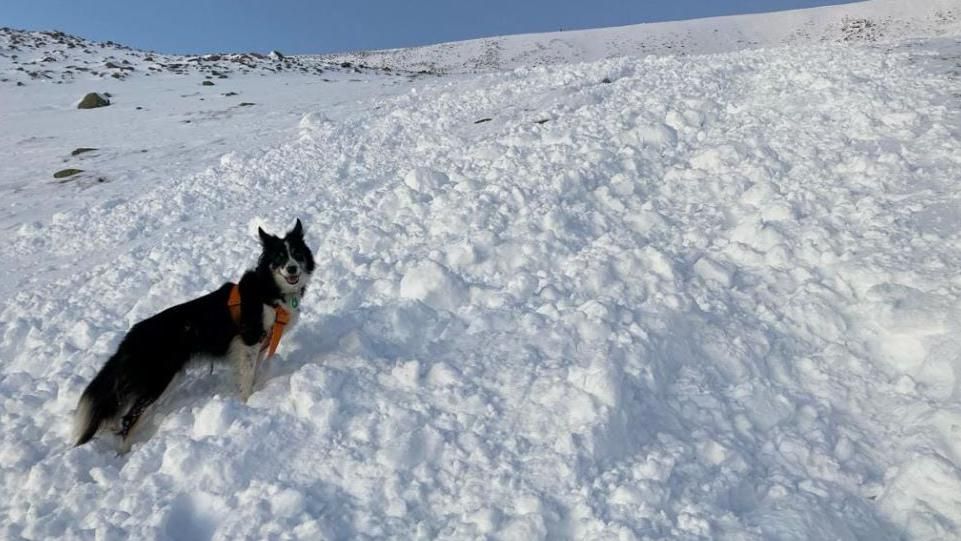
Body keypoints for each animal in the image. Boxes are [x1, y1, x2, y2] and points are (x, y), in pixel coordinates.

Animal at [76, 219, 316, 448]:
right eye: (279, 257)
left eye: (297, 254)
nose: (292, 269)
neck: (269, 289)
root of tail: (129, 339)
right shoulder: (249, 340)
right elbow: (246, 378)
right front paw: (247, 403)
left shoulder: (257, 346)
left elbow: (250, 373)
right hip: (159, 380)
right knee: (128, 419)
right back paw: (123, 453)